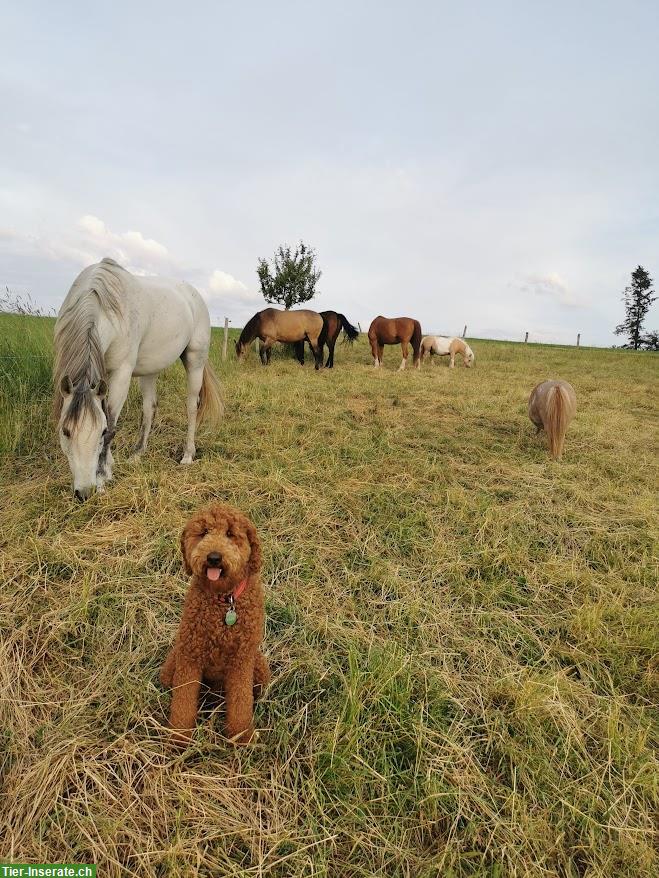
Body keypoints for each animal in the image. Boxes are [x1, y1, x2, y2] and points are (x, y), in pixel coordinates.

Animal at [51, 258, 222, 498]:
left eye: (101, 431)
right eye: (65, 431)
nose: (84, 493)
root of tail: (193, 294)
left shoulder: (121, 373)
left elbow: (111, 421)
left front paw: (103, 477)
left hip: (195, 360)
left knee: (191, 407)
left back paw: (188, 455)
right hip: (150, 371)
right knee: (149, 408)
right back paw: (138, 454)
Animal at [160, 506, 270, 744]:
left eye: (230, 533)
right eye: (203, 533)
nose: (213, 557)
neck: (224, 601)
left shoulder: (241, 660)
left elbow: (240, 703)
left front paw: (241, 737)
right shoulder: (190, 656)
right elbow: (183, 702)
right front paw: (179, 738)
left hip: (260, 669)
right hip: (172, 665)